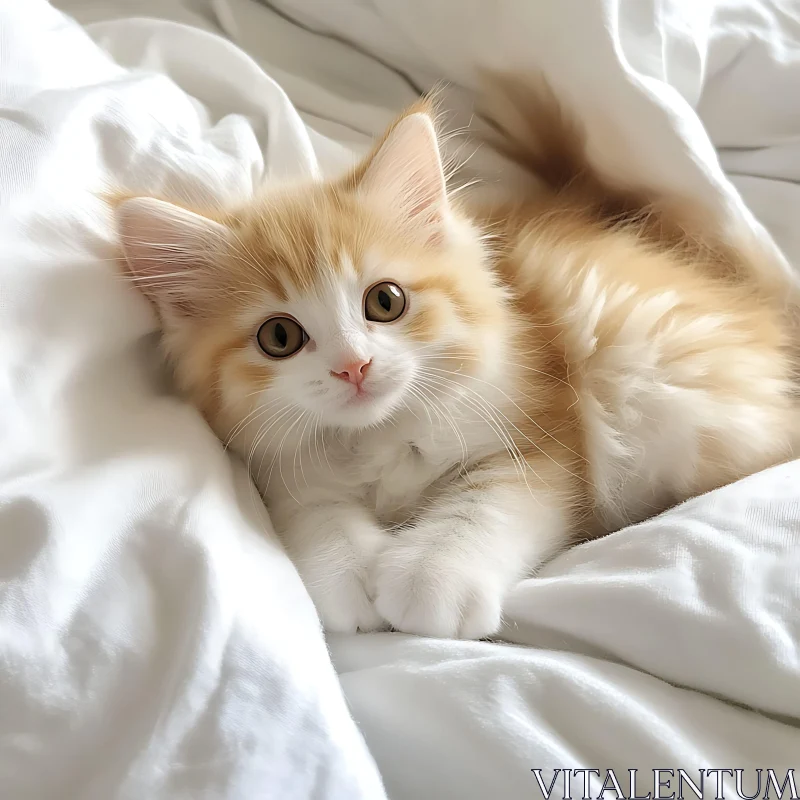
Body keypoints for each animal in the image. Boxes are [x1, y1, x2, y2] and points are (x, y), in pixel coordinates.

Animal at [115, 78, 796, 640]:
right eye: (278, 337)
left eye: (384, 301)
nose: (353, 367)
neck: (381, 435)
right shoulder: (284, 467)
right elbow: (316, 512)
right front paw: (350, 575)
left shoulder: (544, 435)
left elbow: (481, 508)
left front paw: (429, 581)